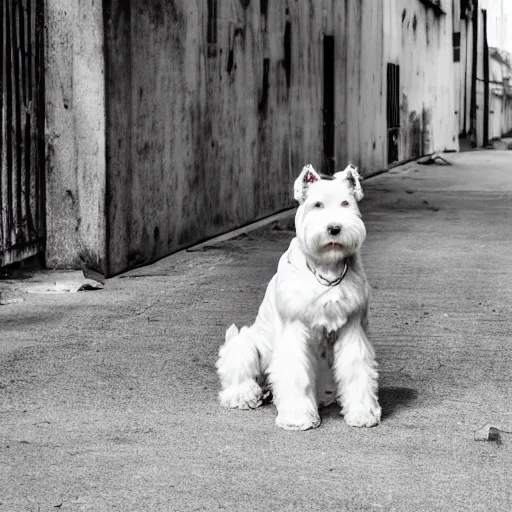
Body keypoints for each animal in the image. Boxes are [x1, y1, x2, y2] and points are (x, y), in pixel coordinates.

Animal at [216, 163, 380, 428]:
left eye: (346, 203)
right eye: (317, 205)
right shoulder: (294, 329)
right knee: (240, 376)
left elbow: (356, 371)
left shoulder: (352, 328)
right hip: (243, 343)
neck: (326, 268)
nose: (334, 229)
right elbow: (295, 374)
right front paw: (297, 417)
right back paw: (246, 395)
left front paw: (362, 413)